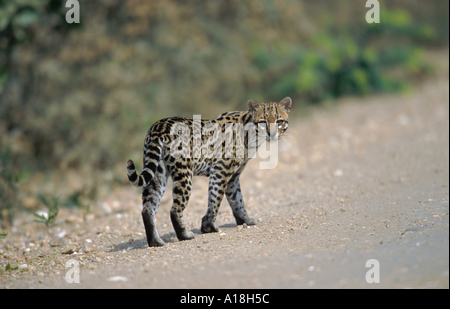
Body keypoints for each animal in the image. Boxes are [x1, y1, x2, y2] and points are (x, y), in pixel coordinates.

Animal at [126, 96, 292, 245]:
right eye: (263, 122)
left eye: (279, 121)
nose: (272, 134)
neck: (251, 135)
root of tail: (157, 126)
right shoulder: (221, 169)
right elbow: (215, 198)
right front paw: (209, 226)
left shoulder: (233, 176)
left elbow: (237, 200)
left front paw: (245, 220)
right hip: (184, 173)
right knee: (174, 209)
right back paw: (185, 235)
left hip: (158, 173)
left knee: (147, 208)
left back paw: (155, 241)